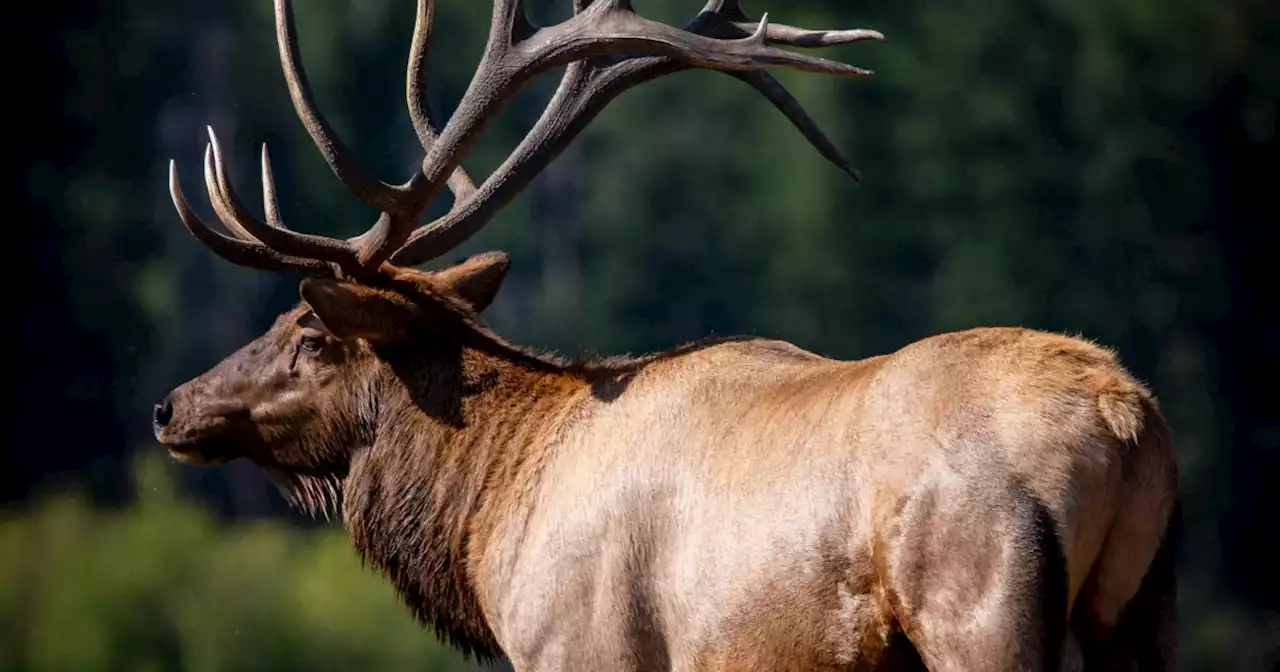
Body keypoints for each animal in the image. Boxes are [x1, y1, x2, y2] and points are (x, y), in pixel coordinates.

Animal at [154, 0, 1182, 665]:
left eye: (308, 332)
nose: (170, 406)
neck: (492, 519)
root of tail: (1127, 421)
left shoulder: (581, 650)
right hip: (1139, 615)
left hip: (978, 603)